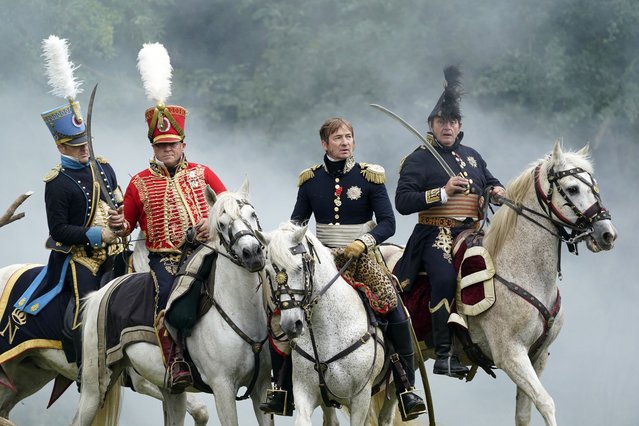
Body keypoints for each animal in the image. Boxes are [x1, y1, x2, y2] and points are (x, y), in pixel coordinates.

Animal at [72, 181, 272, 426]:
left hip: (169, 390)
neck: (239, 312)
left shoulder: (262, 387)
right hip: (95, 386)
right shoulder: (223, 388)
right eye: (222, 224)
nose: (252, 253)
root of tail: (99, 293)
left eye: (252, 214)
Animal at [258, 223, 388, 426]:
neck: (328, 332)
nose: (290, 325)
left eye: (299, 268)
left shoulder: (360, 398)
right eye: (269, 272)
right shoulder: (304, 392)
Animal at [378, 141, 616, 424]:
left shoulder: (537, 357)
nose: (607, 234)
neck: (520, 270)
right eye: (572, 188)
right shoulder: (511, 355)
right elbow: (546, 403)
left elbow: (524, 413)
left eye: (594, 186)